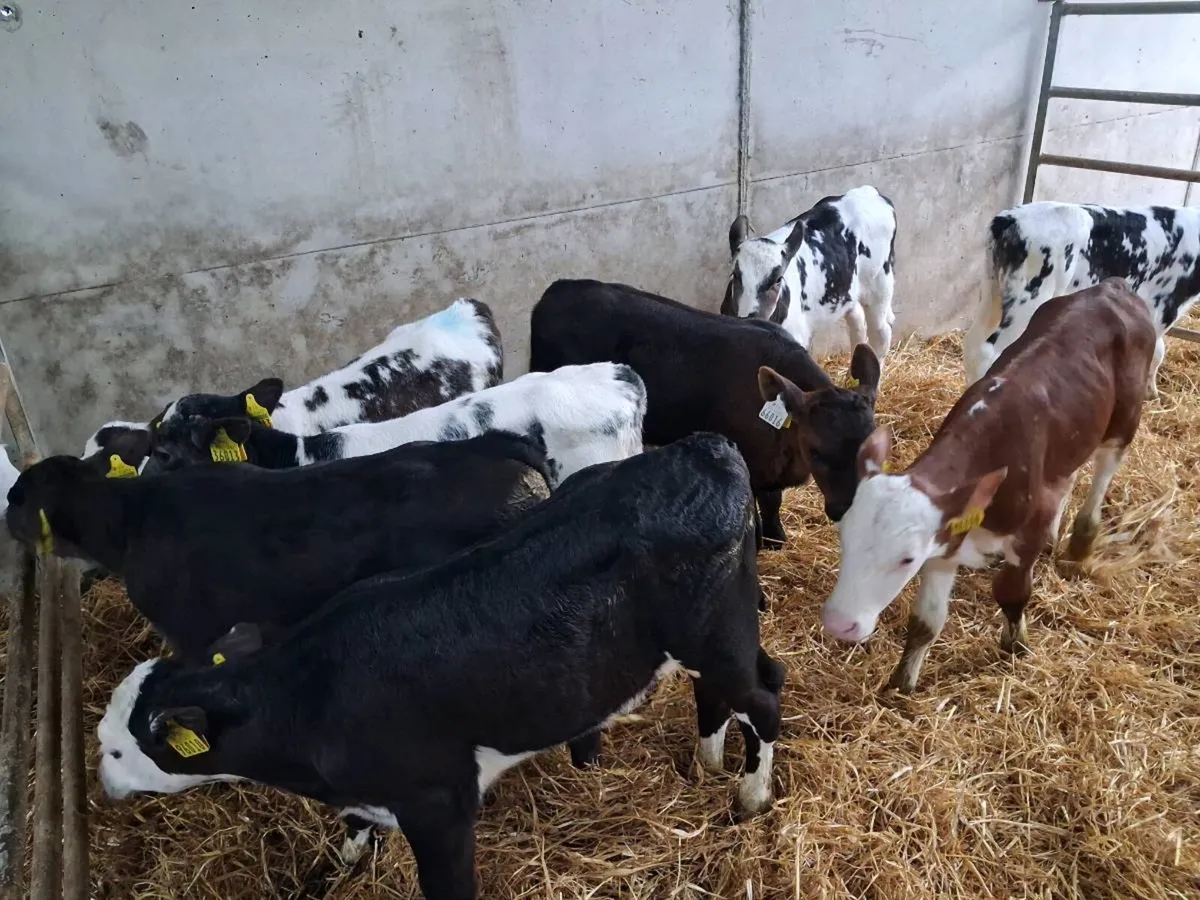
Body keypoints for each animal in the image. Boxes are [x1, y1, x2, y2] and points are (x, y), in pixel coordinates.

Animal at [96, 432, 783, 900]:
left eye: (118, 749)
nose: (103, 788)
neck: (308, 698)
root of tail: (699, 447)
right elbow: (352, 831)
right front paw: (337, 865)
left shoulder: (440, 802)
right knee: (724, 693)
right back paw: (707, 762)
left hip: (716, 633)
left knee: (764, 694)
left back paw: (749, 796)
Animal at [722, 185, 897, 362]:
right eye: (735, 274)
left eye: (778, 279)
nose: (751, 316)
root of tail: (870, 192)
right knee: (857, 320)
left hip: (879, 286)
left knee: (881, 333)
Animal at [822, 279, 1155, 694]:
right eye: (844, 538)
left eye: (906, 559)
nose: (839, 623)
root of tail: (1113, 287)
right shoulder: (945, 544)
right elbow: (926, 621)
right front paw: (902, 683)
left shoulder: (1025, 533)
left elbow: (1011, 593)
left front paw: (1016, 646)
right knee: (1069, 474)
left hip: (1125, 419)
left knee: (1103, 472)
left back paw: (1081, 540)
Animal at [965, 201, 1200, 398]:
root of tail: (1009, 219)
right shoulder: (1164, 306)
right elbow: (1157, 350)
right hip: (1029, 297)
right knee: (989, 350)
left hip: (991, 291)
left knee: (973, 342)